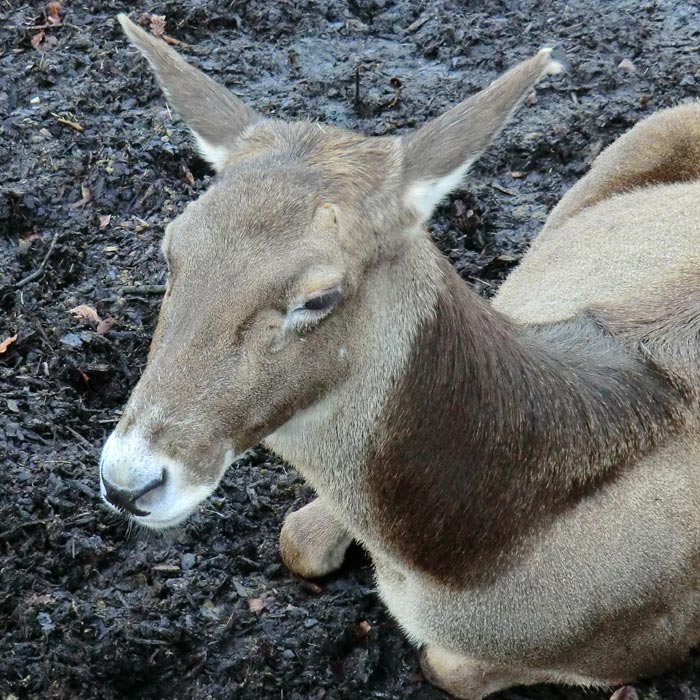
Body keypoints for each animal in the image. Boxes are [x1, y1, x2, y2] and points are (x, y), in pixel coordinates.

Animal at [100, 12, 700, 700]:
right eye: (173, 247)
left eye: (319, 296)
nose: (128, 482)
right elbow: (295, 538)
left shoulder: (651, 636)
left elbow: (445, 665)